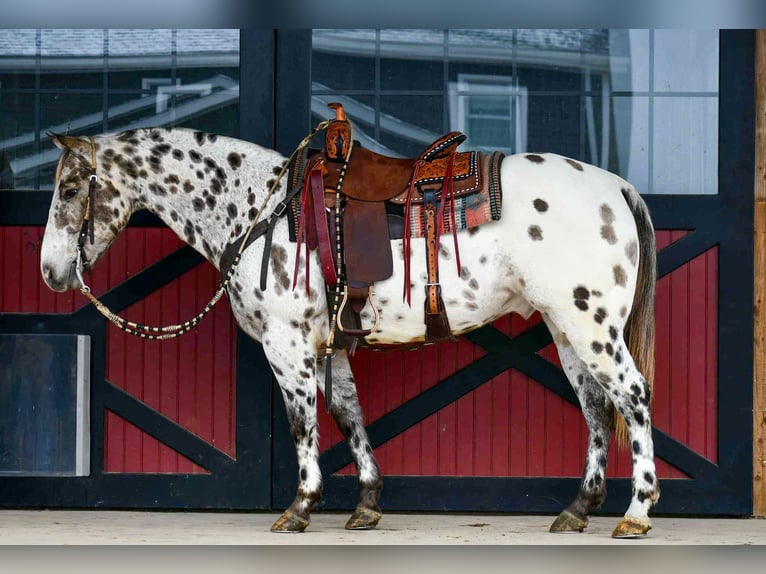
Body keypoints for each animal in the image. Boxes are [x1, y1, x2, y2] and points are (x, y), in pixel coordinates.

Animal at [39, 127, 659, 538]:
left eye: (69, 190)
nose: (50, 273)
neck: (257, 209)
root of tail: (615, 187)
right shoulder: (328, 348)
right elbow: (348, 414)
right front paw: (367, 503)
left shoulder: (286, 344)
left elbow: (303, 423)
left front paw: (300, 507)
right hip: (566, 328)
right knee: (597, 408)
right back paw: (578, 509)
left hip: (591, 325)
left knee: (633, 396)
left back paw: (636, 511)